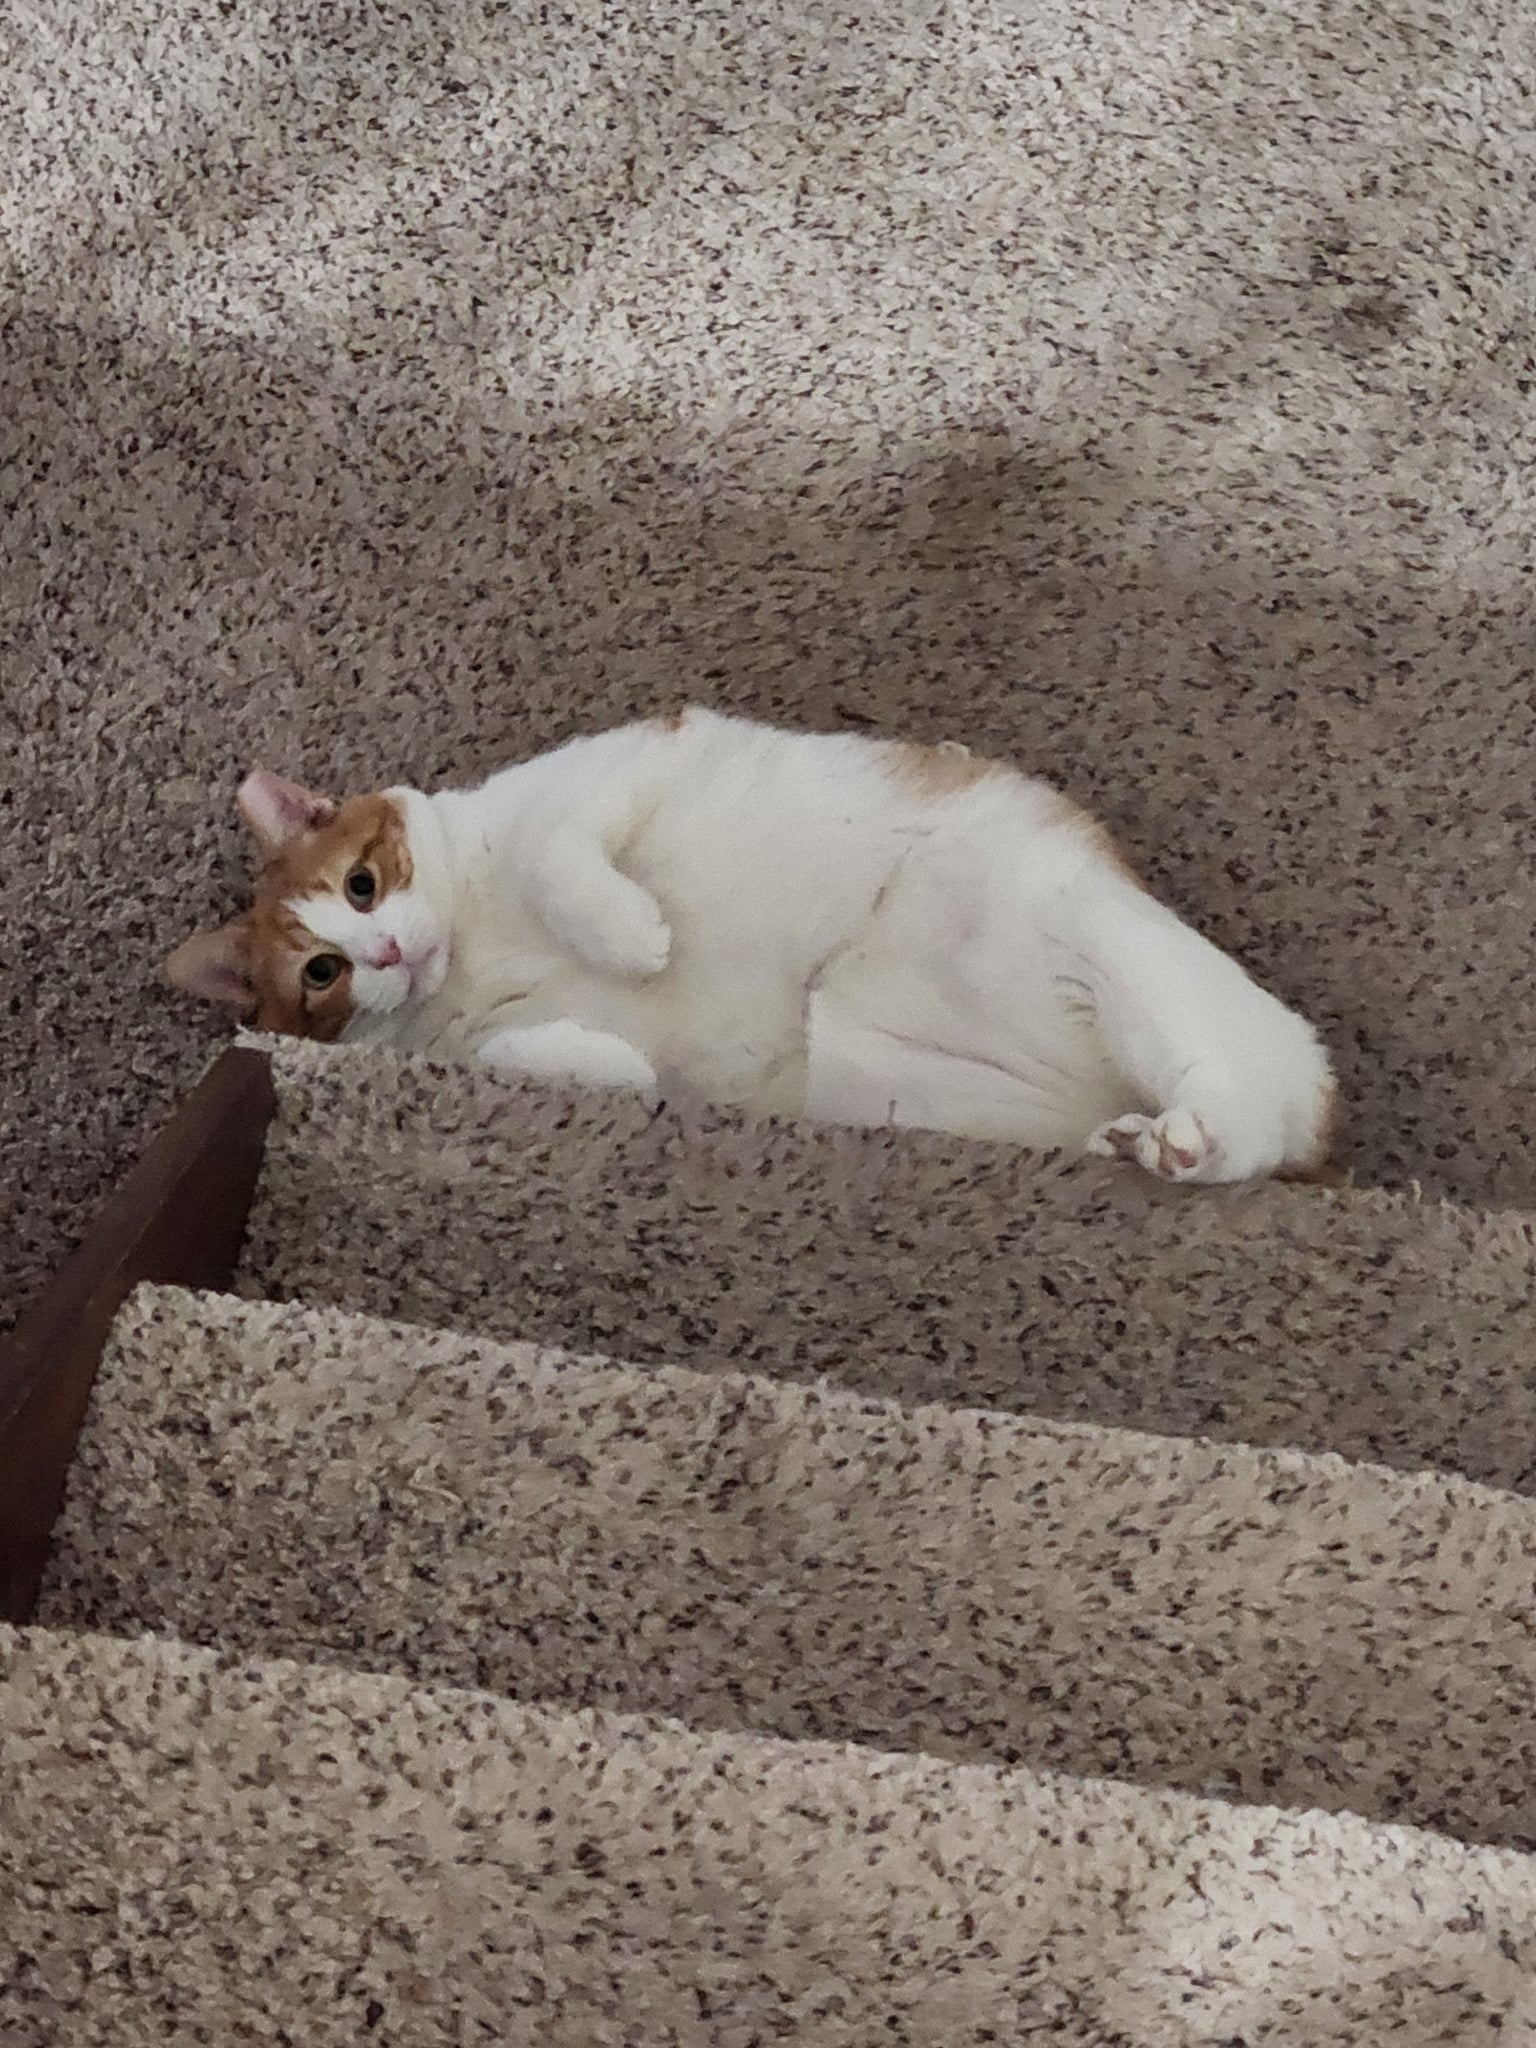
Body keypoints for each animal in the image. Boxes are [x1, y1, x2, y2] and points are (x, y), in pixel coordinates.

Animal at [166, 708, 1336, 1184]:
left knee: (1260, 1100)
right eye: (321, 972)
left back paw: (1191, 1138)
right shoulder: (476, 1045)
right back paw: (1133, 1141)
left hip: (1104, 949)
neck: (478, 946)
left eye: (363, 884)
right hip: (909, 1091)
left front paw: (632, 936)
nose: (385, 956)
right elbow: (537, 1054)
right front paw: (613, 1059)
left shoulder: (615, 769)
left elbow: (557, 855)